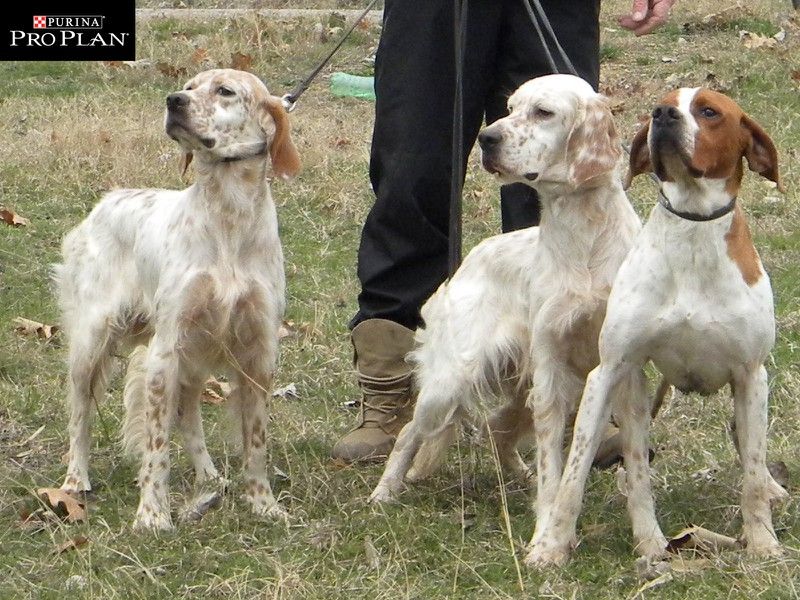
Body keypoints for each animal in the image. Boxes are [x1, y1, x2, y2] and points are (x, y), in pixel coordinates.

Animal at [56, 69, 300, 528]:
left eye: (225, 91)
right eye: (189, 85)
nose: (173, 101)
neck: (227, 217)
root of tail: (106, 201)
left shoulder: (258, 353)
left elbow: (256, 441)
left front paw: (263, 503)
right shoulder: (165, 351)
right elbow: (157, 448)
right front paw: (153, 514)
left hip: (194, 354)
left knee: (189, 416)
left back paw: (210, 476)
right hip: (91, 341)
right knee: (80, 414)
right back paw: (75, 479)